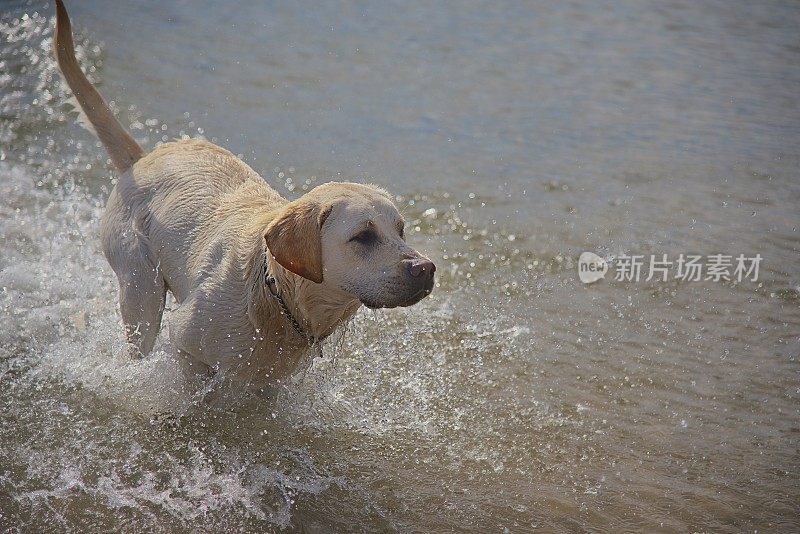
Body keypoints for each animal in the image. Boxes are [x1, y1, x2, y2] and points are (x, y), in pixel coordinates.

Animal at [53, 0, 434, 386]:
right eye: (363, 236)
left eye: (401, 231)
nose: (426, 268)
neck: (275, 291)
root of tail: (142, 158)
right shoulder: (186, 345)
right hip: (139, 287)